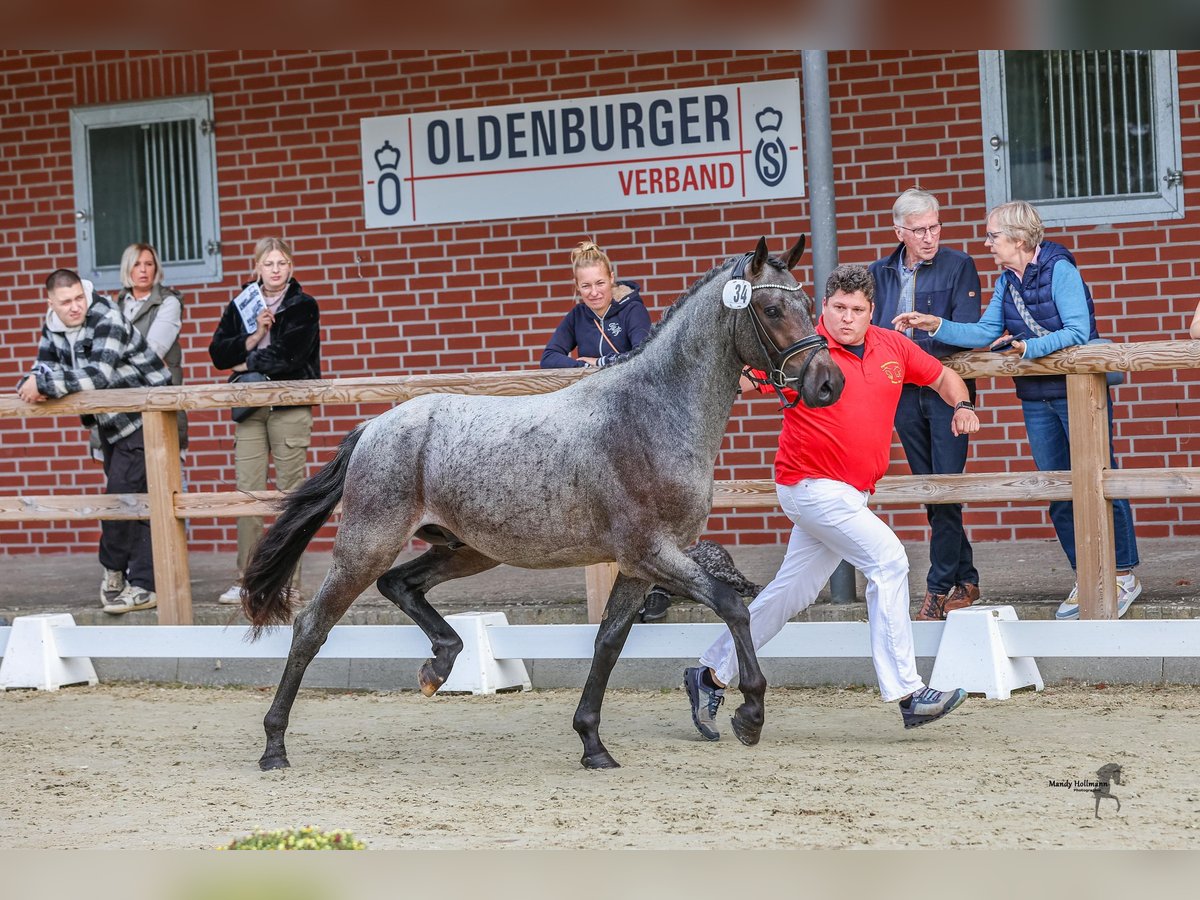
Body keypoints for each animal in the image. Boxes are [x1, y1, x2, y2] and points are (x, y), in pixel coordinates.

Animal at [241, 240, 844, 777]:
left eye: (808, 305)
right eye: (772, 309)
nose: (828, 383)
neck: (651, 412)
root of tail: (374, 426)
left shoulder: (637, 565)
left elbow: (608, 642)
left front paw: (593, 745)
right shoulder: (654, 552)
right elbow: (733, 606)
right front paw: (750, 714)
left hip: (469, 551)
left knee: (400, 585)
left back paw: (439, 665)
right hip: (367, 546)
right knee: (312, 626)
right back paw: (273, 747)